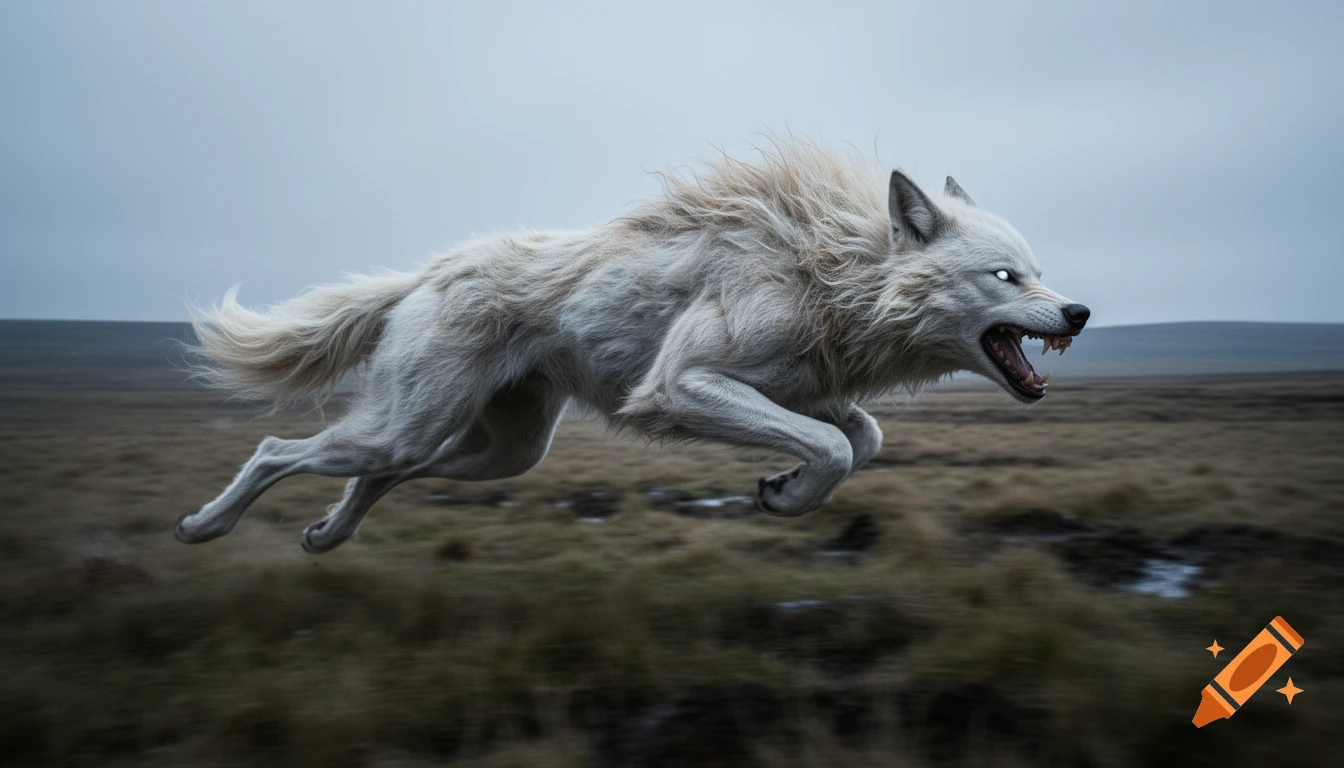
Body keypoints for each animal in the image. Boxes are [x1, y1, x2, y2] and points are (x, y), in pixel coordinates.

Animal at [175, 139, 1089, 553]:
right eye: (1006, 277)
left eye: (1040, 274)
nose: (1079, 312)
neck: (832, 271)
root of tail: (425, 273)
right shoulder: (684, 387)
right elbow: (834, 445)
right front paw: (789, 491)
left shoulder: (803, 392)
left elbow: (862, 438)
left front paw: (785, 493)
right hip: (412, 425)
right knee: (276, 449)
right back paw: (203, 527)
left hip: (499, 451)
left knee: (382, 472)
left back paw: (327, 537)